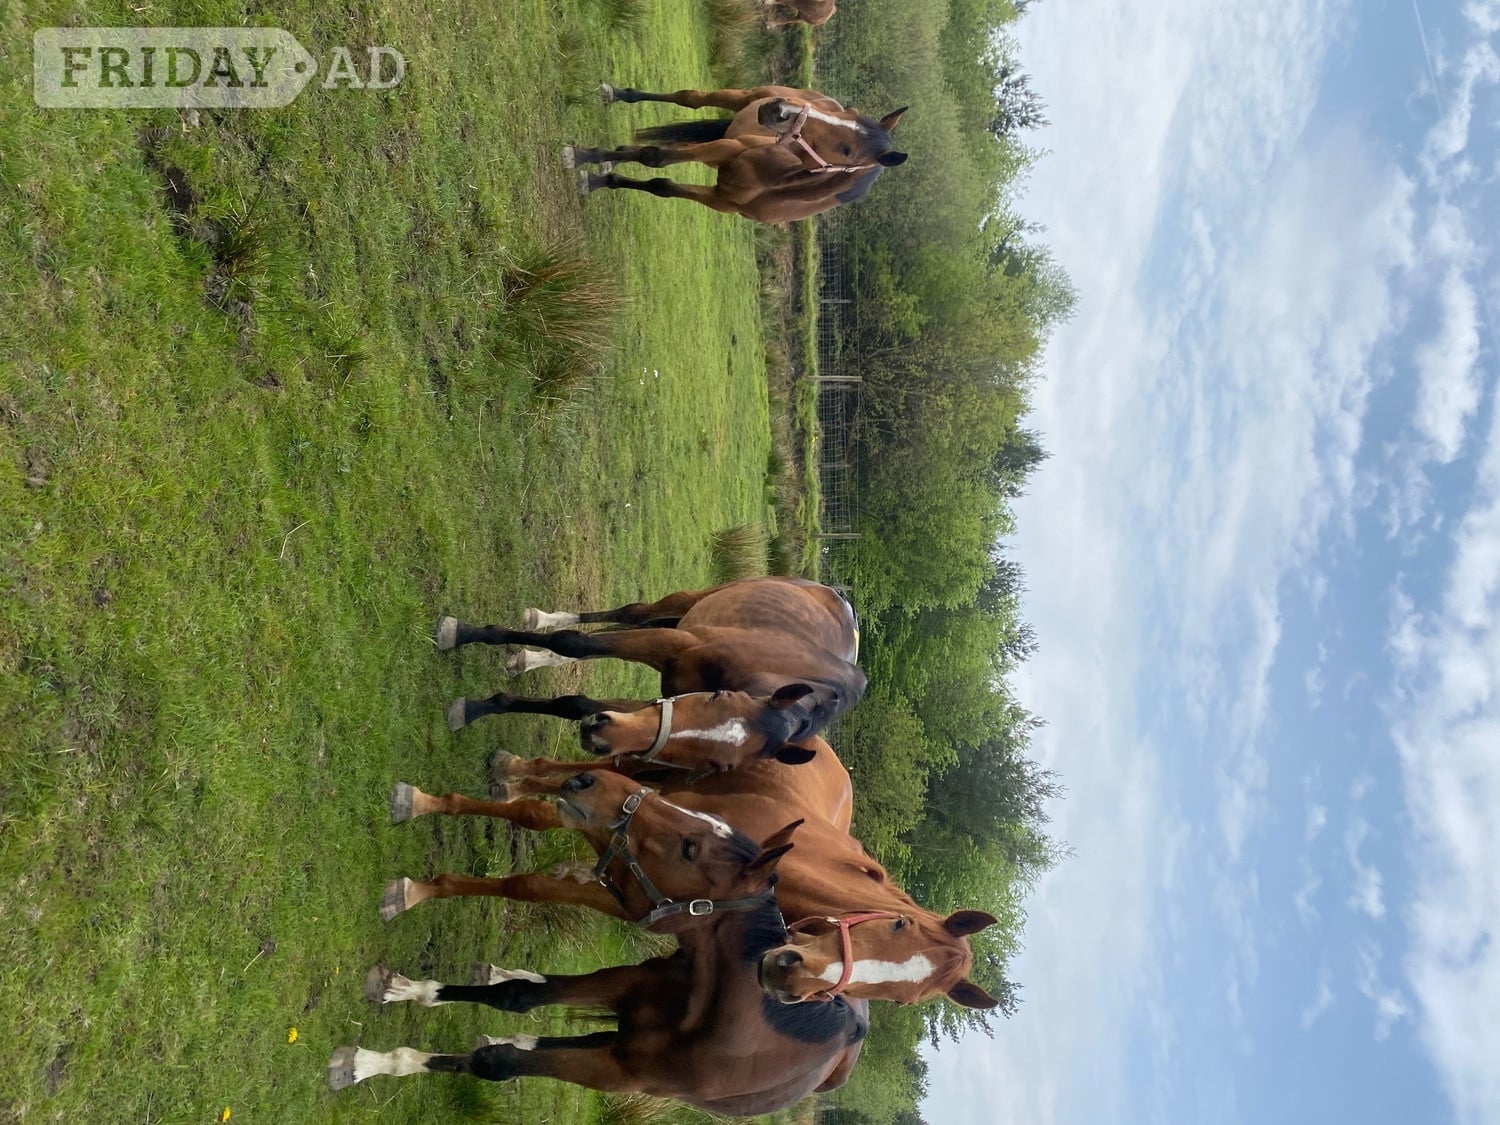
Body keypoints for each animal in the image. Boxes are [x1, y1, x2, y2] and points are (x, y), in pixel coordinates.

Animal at [331, 837, 871, 1114]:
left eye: (688, 850)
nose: (600, 866)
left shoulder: (614, 1071)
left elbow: (497, 1063)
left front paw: (370, 1062)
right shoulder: (621, 986)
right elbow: (517, 996)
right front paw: (402, 995)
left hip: (613, 1047)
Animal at [436, 576, 866, 750]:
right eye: (717, 701)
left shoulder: (660, 708)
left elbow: (576, 704)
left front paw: (480, 706)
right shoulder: (673, 642)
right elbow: (574, 643)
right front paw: (464, 634)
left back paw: (527, 657)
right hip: (685, 604)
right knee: (628, 614)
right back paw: (541, 622)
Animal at [564, 84, 907, 223]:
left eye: (846, 150)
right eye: (849, 111)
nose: (779, 109)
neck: (775, 183)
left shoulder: (719, 200)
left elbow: (661, 184)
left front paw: (598, 176)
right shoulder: (727, 148)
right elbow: (655, 156)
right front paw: (583, 157)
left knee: (672, 146)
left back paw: (614, 156)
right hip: (740, 98)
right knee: (689, 98)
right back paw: (618, 94)